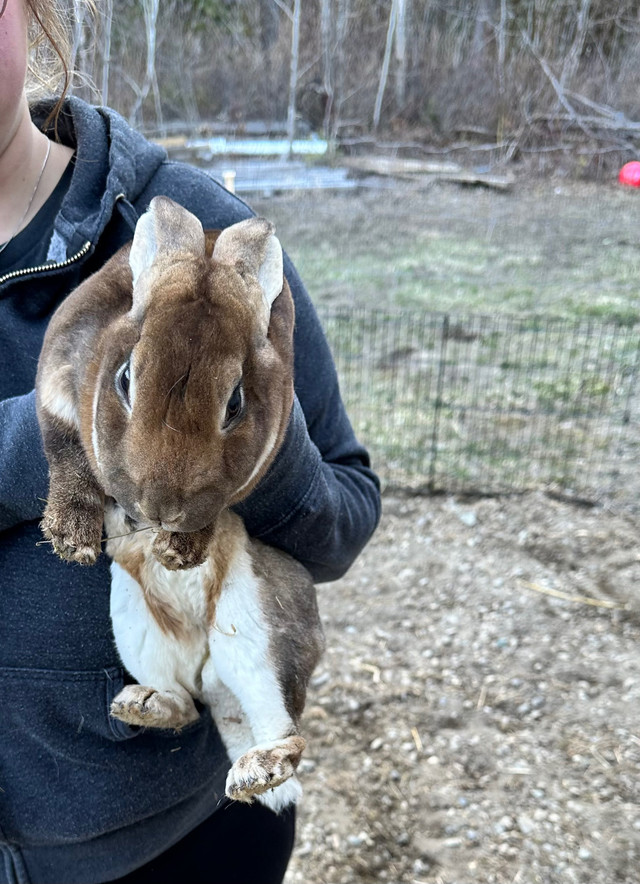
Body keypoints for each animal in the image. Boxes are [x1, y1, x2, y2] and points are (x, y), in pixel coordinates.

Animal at [35, 197, 324, 812]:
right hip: (136, 628)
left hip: (260, 632)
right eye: (125, 378)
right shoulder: (57, 387)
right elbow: (67, 453)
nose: (159, 504)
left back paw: (255, 773)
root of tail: (211, 680)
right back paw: (140, 705)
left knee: (290, 734)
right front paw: (72, 538)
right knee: (186, 708)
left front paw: (178, 553)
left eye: (235, 402)